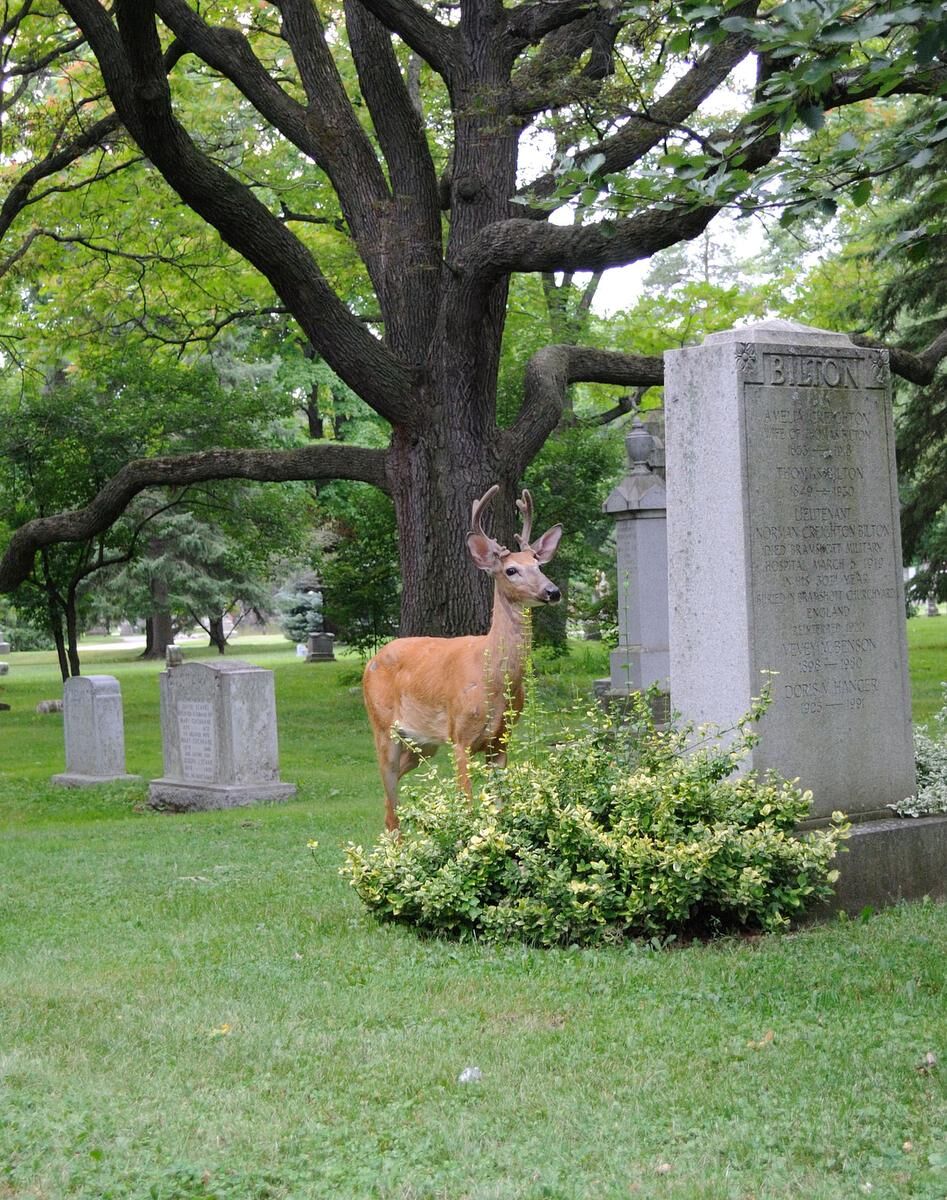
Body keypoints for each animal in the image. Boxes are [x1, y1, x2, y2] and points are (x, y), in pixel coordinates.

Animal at [360, 482, 554, 830]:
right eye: (511, 570)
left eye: (540, 566)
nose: (552, 591)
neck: (494, 679)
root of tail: (371, 661)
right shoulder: (459, 735)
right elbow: (468, 806)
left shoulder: (500, 739)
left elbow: (501, 807)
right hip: (383, 727)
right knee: (391, 802)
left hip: (423, 744)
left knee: (388, 803)